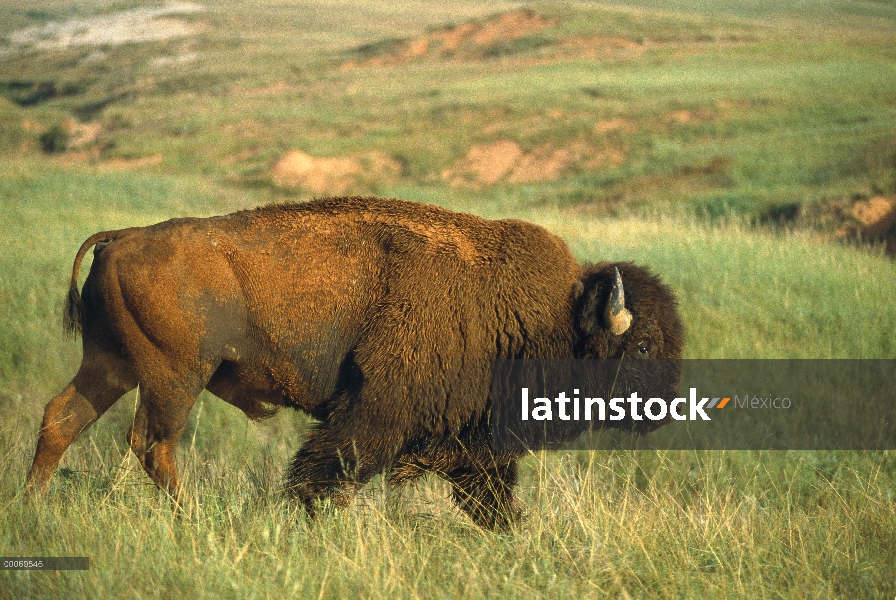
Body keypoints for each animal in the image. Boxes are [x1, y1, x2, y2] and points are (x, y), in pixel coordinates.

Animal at [28, 196, 688, 524]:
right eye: (643, 347)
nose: (664, 407)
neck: (547, 315)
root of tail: (124, 236)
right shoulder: (376, 412)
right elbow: (328, 468)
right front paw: (308, 515)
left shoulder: (472, 442)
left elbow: (492, 499)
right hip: (175, 377)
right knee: (152, 442)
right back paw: (188, 517)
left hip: (112, 365)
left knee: (63, 417)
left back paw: (30, 503)